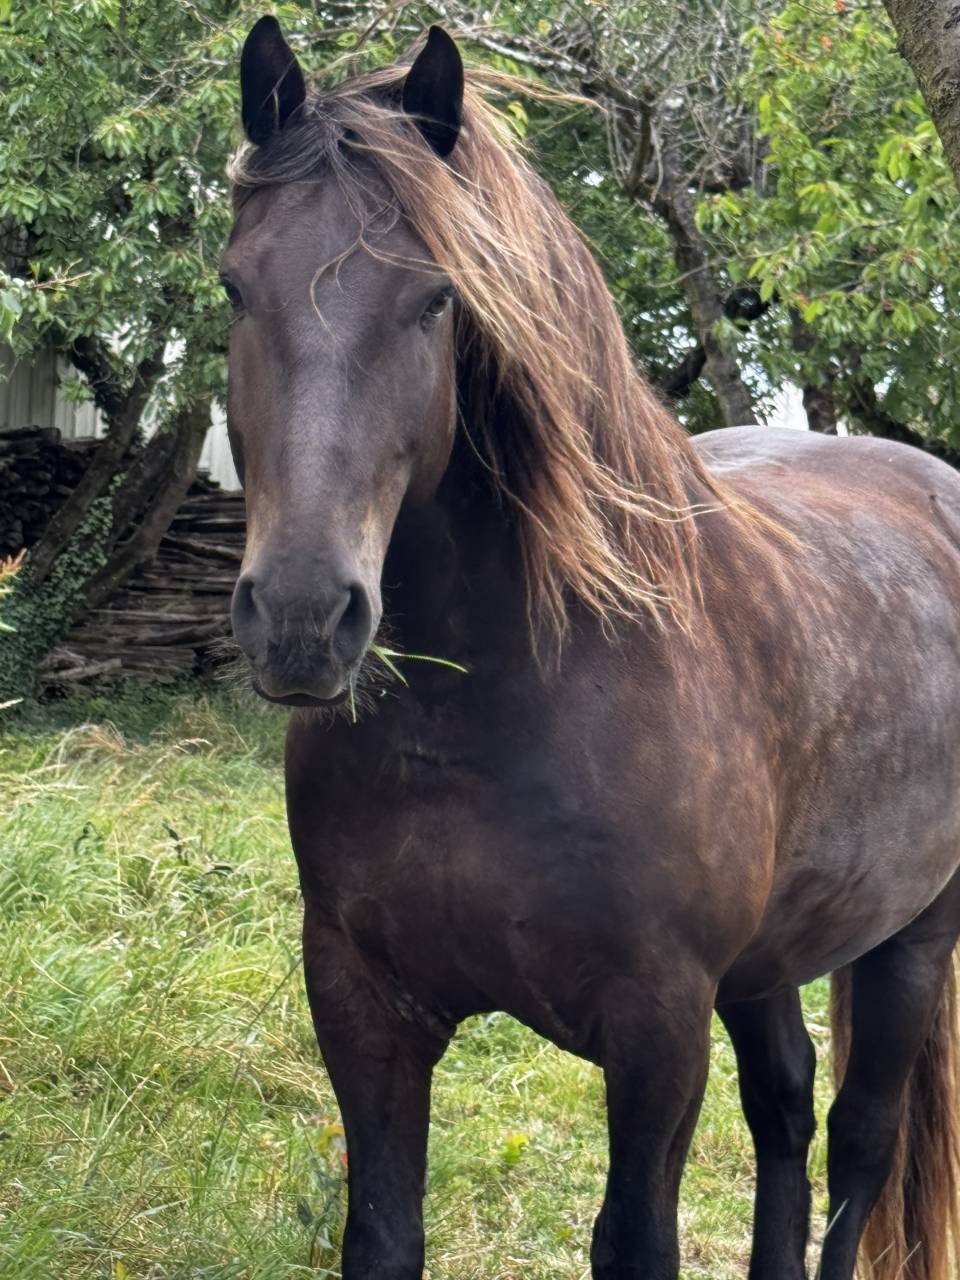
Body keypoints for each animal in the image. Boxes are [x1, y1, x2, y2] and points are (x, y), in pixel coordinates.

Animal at [223, 18, 960, 1279]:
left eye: (436, 300)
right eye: (233, 285)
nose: (304, 615)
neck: (500, 707)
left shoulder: (656, 1029)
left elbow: (636, 1238)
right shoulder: (361, 1002)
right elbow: (383, 1232)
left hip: (914, 935)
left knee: (861, 1141)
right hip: (769, 962)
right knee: (786, 1105)